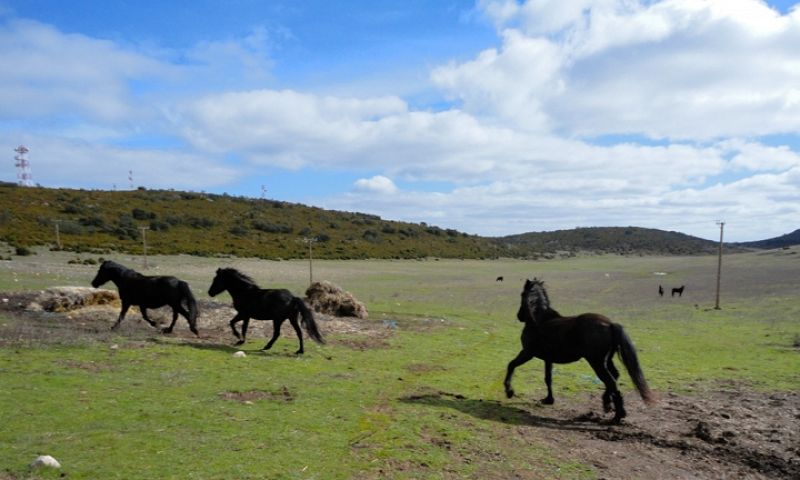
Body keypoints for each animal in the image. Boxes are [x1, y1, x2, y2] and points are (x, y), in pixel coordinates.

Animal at [506, 278, 656, 424]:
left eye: (522, 294)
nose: (519, 316)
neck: (538, 320)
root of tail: (610, 324)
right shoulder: (548, 359)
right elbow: (548, 378)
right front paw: (549, 400)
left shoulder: (527, 353)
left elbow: (511, 365)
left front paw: (509, 391)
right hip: (607, 360)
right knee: (614, 377)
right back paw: (607, 404)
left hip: (596, 362)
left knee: (611, 382)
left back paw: (617, 416)